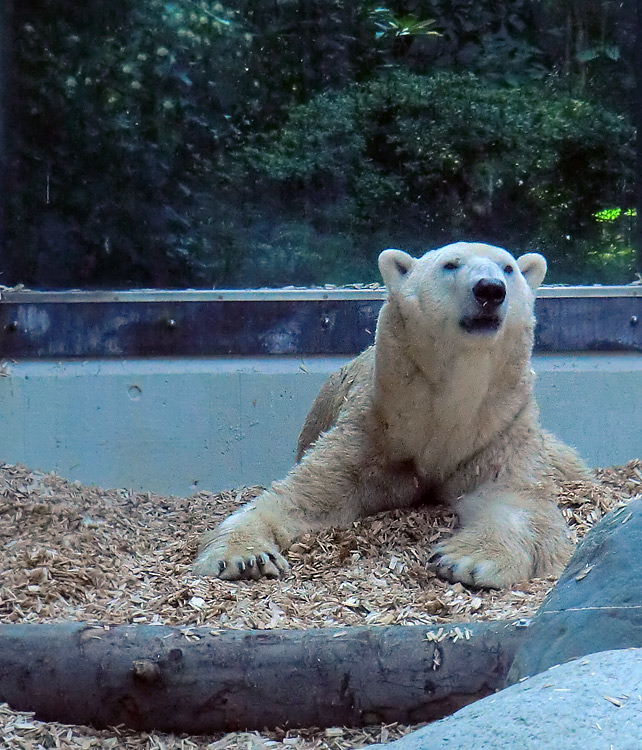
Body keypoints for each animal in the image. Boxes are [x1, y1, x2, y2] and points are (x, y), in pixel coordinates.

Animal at [192, 244, 588, 592]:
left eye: (508, 268)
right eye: (451, 264)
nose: (490, 289)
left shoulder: (498, 431)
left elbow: (512, 498)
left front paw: (466, 560)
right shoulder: (372, 430)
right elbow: (303, 497)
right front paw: (245, 557)